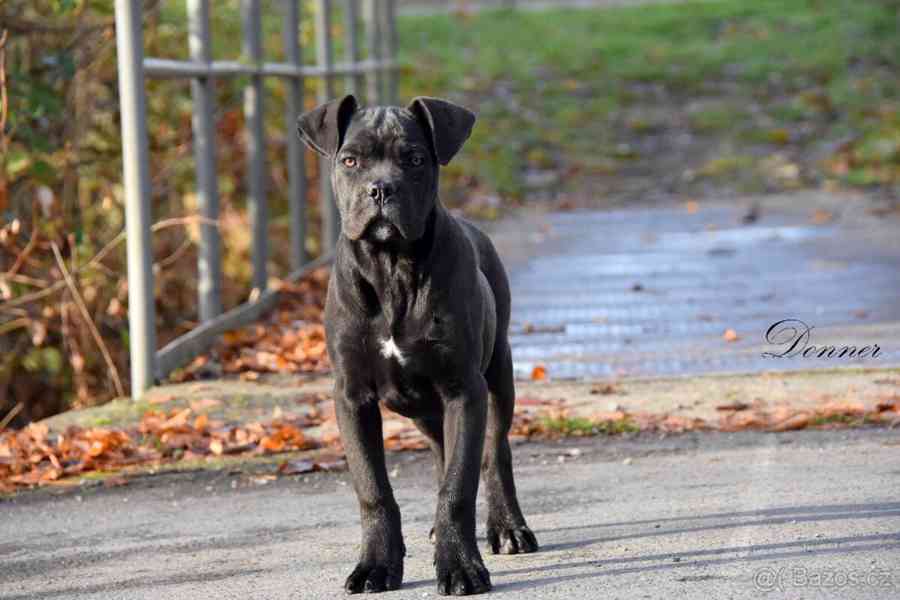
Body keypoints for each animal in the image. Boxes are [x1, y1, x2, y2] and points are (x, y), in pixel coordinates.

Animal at [296, 95, 536, 596]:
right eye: (350, 161)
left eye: (415, 159)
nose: (380, 190)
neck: (393, 269)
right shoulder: (352, 397)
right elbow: (374, 489)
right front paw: (376, 565)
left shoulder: (463, 389)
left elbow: (459, 485)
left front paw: (460, 566)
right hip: (427, 408)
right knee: (444, 450)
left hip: (497, 377)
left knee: (495, 451)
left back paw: (507, 527)